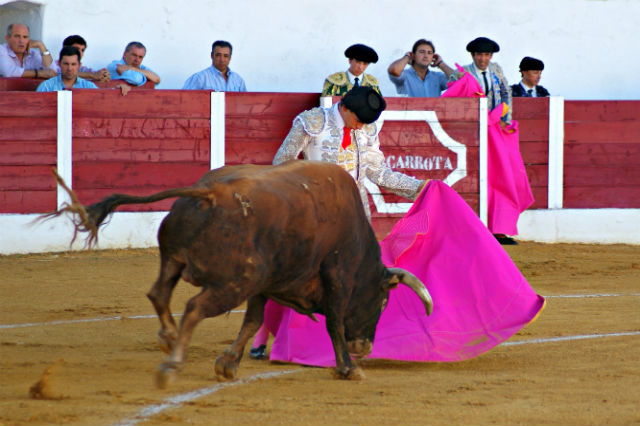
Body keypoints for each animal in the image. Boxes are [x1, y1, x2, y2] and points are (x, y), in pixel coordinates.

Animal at [45, 160, 432, 386]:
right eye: (383, 302)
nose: (364, 346)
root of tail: (211, 191)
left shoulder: (264, 285)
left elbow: (253, 320)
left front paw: (228, 363)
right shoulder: (337, 276)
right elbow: (334, 321)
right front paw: (349, 368)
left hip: (179, 261)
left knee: (158, 293)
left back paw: (168, 337)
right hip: (233, 283)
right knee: (193, 308)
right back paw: (172, 364)